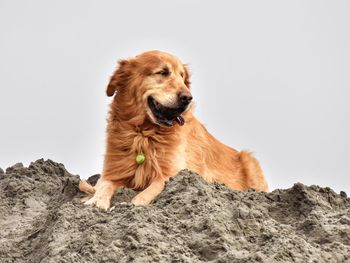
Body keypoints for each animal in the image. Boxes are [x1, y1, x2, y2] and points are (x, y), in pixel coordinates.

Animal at [79, 50, 268, 210]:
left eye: (182, 76)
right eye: (163, 72)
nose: (188, 97)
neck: (143, 134)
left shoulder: (172, 174)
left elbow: (148, 191)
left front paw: (130, 205)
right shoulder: (113, 172)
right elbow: (103, 186)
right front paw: (96, 201)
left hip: (250, 161)